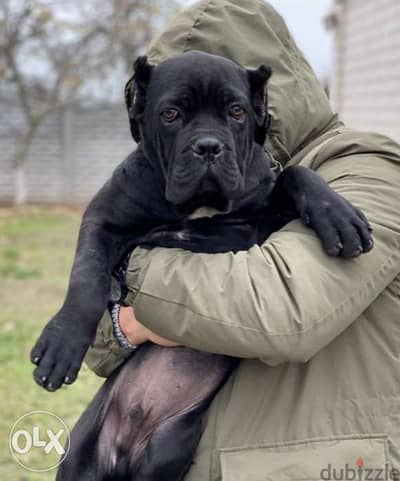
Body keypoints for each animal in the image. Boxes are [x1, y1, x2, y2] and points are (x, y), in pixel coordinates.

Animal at [30, 50, 372, 478]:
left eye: (237, 112)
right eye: (171, 114)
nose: (208, 146)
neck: (193, 209)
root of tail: (122, 451)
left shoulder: (257, 225)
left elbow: (295, 173)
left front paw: (339, 215)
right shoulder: (103, 220)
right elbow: (87, 278)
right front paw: (62, 342)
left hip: (170, 445)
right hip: (81, 453)